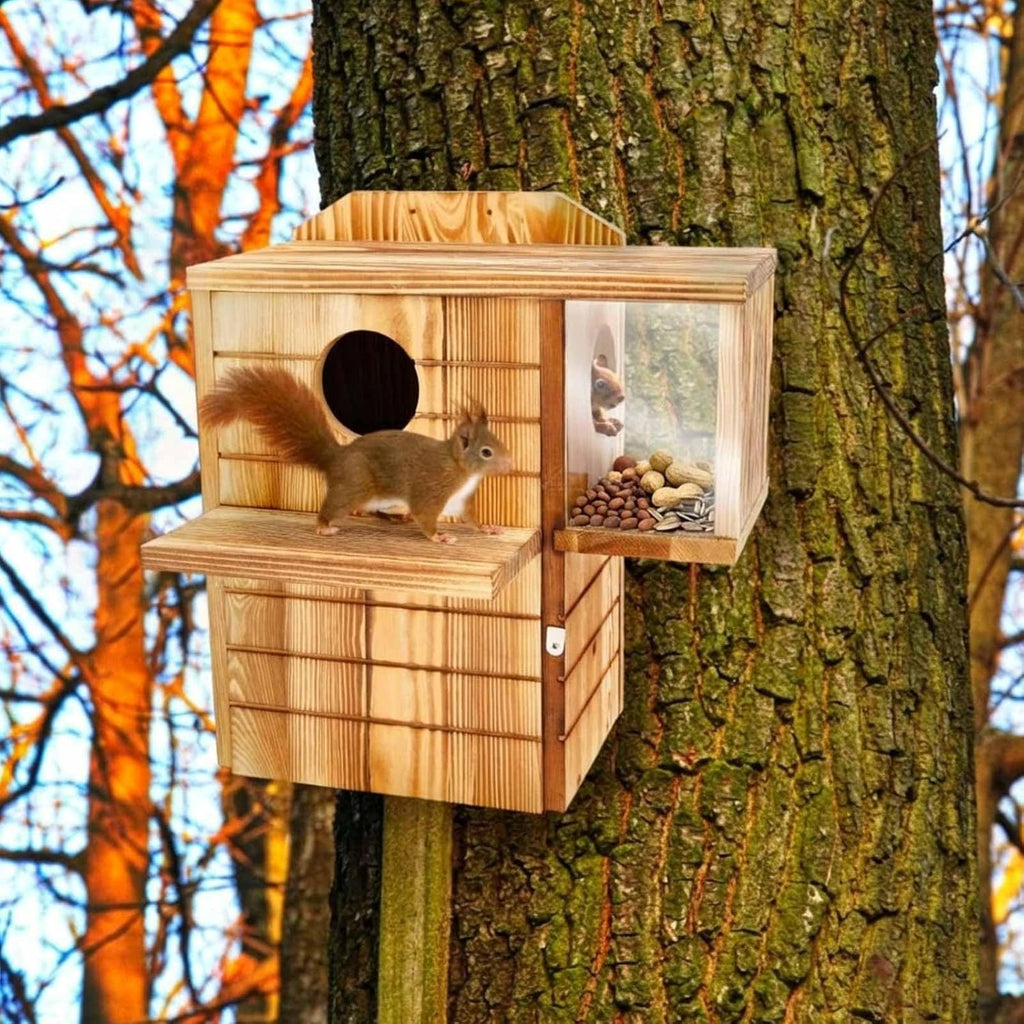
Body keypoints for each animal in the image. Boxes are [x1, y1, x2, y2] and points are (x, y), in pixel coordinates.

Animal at [200, 366, 513, 544]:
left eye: (499, 441)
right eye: (486, 452)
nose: (511, 463)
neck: (462, 471)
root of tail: (335, 458)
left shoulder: (459, 502)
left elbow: (471, 519)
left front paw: (488, 529)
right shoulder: (432, 490)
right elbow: (425, 517)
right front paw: (440, 536)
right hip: (354, 486)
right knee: (331, 508)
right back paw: (324, 528)